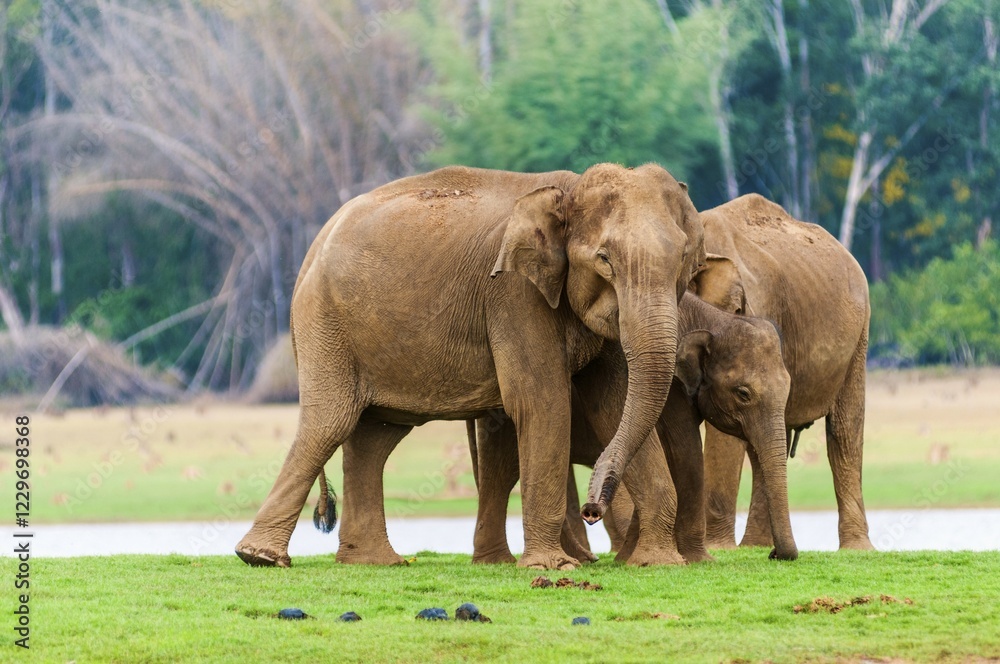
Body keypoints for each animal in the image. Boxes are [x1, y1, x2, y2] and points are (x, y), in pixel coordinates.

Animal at [235, 162, 706, 570]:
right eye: (605, 259)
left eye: (684, 257)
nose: (593, 509)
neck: (569, 188)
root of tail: (312, 249)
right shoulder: (513, 294)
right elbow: (541, 402)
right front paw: (552, 567)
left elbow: (612, 404)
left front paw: (659, 563)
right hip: (325, 322)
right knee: (329, 423)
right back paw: (260, 557)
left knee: (375, 436)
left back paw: (372, 561)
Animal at [467, 289, 798, 564]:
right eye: (743, 393)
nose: (774, 554)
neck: (714, 318)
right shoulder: (672, 388)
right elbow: (684, 449)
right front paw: (698, 560)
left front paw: (628, 558)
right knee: (506, 467)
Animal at [688, 194, 872, 551]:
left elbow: (724, 435)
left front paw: (716, 549)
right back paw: (755, 546)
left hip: (859, 336)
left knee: (844, 430)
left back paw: (857, 549)